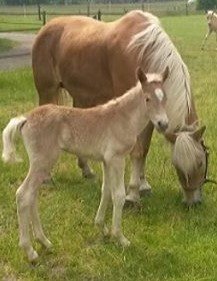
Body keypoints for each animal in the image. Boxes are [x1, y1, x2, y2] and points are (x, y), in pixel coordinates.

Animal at [2, 67, 170, 260]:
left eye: (165, 97)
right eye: (147, 98)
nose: (163, 124)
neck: (123, 118)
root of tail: (26, 119)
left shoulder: (106, 160)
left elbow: (106, 190)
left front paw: (102, 227)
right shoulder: (117, 158)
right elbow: (118, 195)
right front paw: (120, 238)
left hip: (41, 164)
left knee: (32, 196)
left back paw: (44, 242)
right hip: (43, 161)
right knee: (23, 194)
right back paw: (30, 251)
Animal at [32, 10, 209, 206]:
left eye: (201, 162)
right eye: (177, 166)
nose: (192, 202)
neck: (142, 52)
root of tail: (46, 28)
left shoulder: (151, 117)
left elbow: (144, 150)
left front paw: (143, 185)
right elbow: (137, 151)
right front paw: (132, 194)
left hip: (79, 96)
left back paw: (87, 171)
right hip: (47, 91)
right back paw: (47, 178)